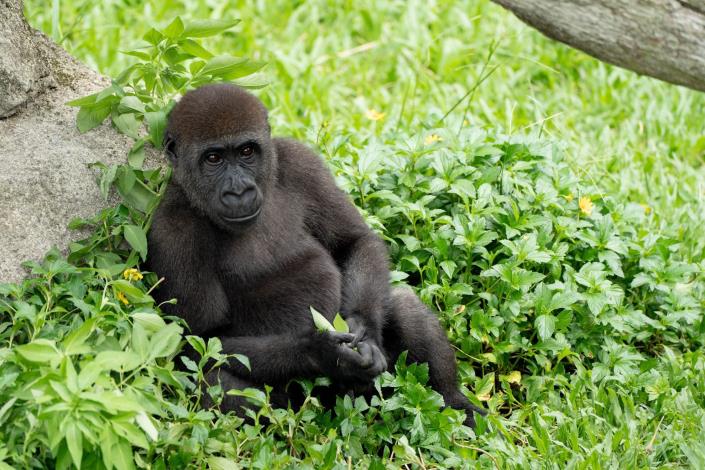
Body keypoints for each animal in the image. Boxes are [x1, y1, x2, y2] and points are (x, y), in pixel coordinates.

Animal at [148, 83, 484, 426]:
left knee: (403, 303)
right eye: (213, 158)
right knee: (212, 376)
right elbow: (204, 340)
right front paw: (324, 353)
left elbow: (355, 241)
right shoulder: (171, 231)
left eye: (246, 152)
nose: (239, 191)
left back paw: (458, 407)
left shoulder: (300, 161)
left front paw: (363, 328)